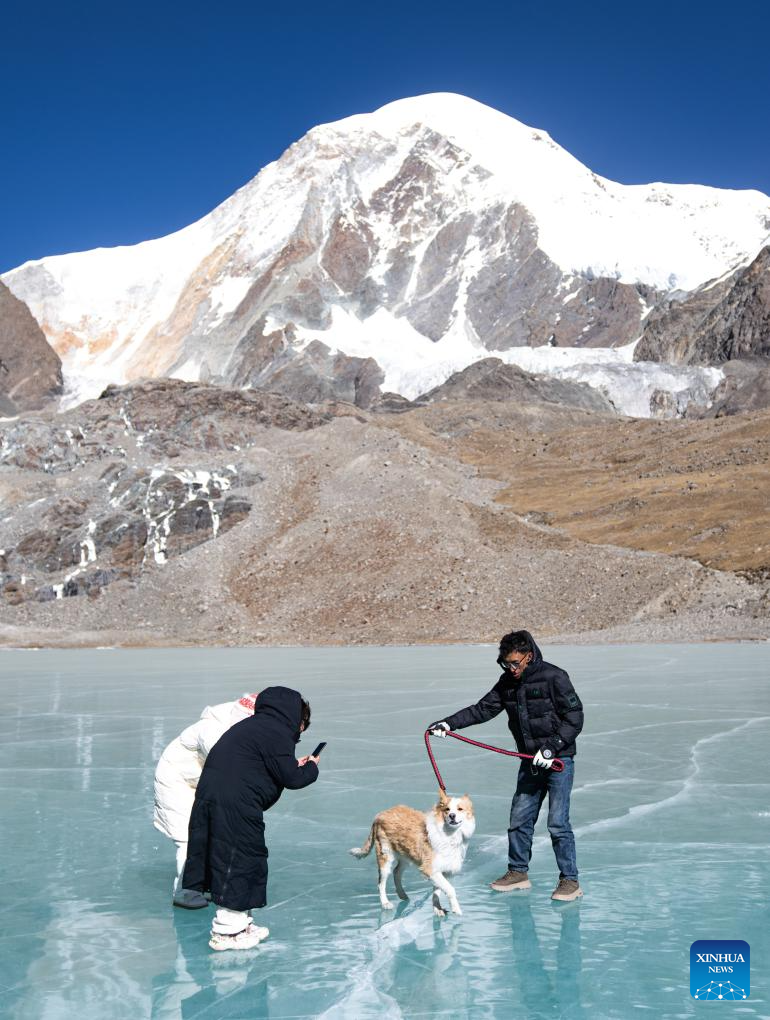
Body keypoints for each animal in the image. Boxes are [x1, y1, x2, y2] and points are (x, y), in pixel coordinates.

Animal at [350, 787, 475, 918]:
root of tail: (380, 815)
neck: (449, 834)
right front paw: (456, 909)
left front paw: (437, 908)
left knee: (396, 872)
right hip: (385, 856)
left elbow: (437, 891)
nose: (452, 816)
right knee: (381, 882)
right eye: (447, 809)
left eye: (460, 809)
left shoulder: (441, 870)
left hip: (405, 855)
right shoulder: (430, 868)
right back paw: (385, 903)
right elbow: (450, 889)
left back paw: (402, 895)